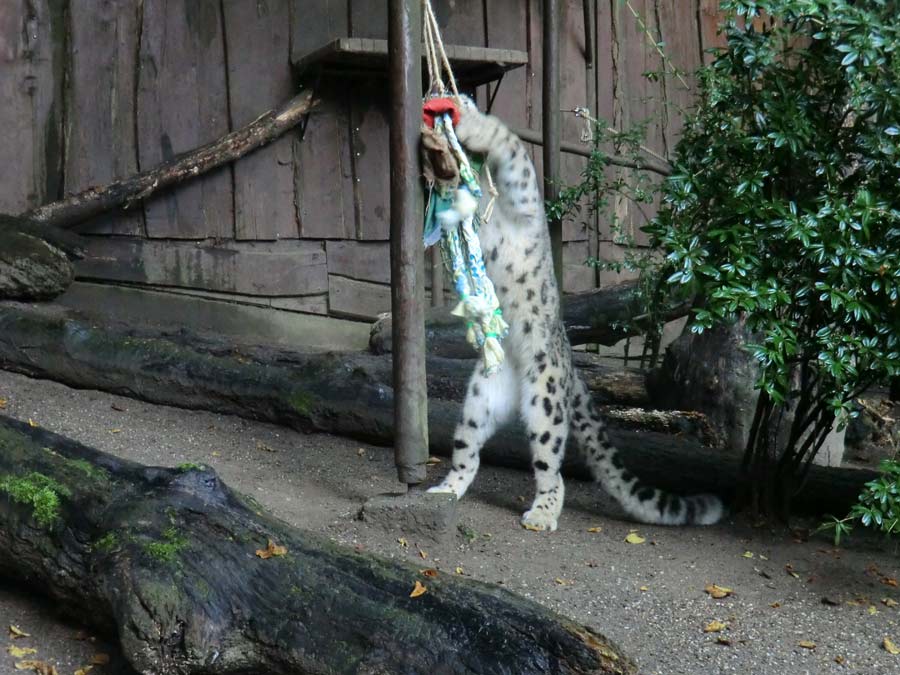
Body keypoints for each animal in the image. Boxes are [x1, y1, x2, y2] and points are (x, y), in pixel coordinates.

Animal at [428, 99, 724, 532]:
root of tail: (568, 363)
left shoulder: (521, 190)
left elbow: (508, 145)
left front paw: (471, 123)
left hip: (545, 400)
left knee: (552, 467)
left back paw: (541, 513)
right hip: (480, 401)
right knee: (468, 449)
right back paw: (446, 489)